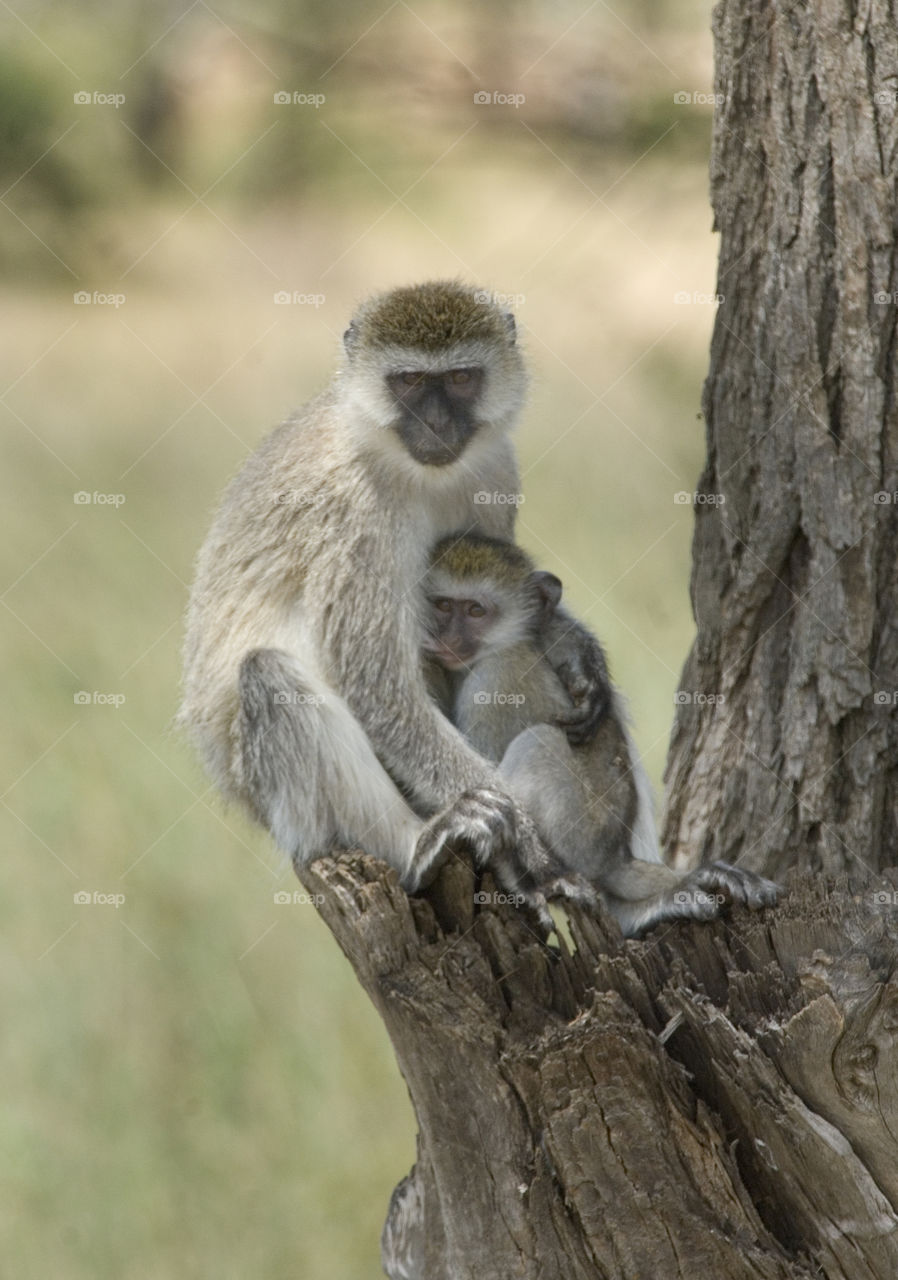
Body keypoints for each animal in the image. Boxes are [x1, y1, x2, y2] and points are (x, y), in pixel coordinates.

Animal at [179, 285, 608, 896]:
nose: (434, 423)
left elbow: (518, 590)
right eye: (408, 381)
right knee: (268, 675)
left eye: (460, 378)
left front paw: (575, 651)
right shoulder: (355, 510)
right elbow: (374, 683)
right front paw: (520, 829)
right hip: (259, 787)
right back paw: (417, 845)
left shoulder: (496, 470)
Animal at [424, 535, 782, 936]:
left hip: (581, 838)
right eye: (442, 605)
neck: (505, 644)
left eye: (475, 611)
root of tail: (616, 857)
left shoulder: (494, 682)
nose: (446, 637)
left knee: (538, 745)